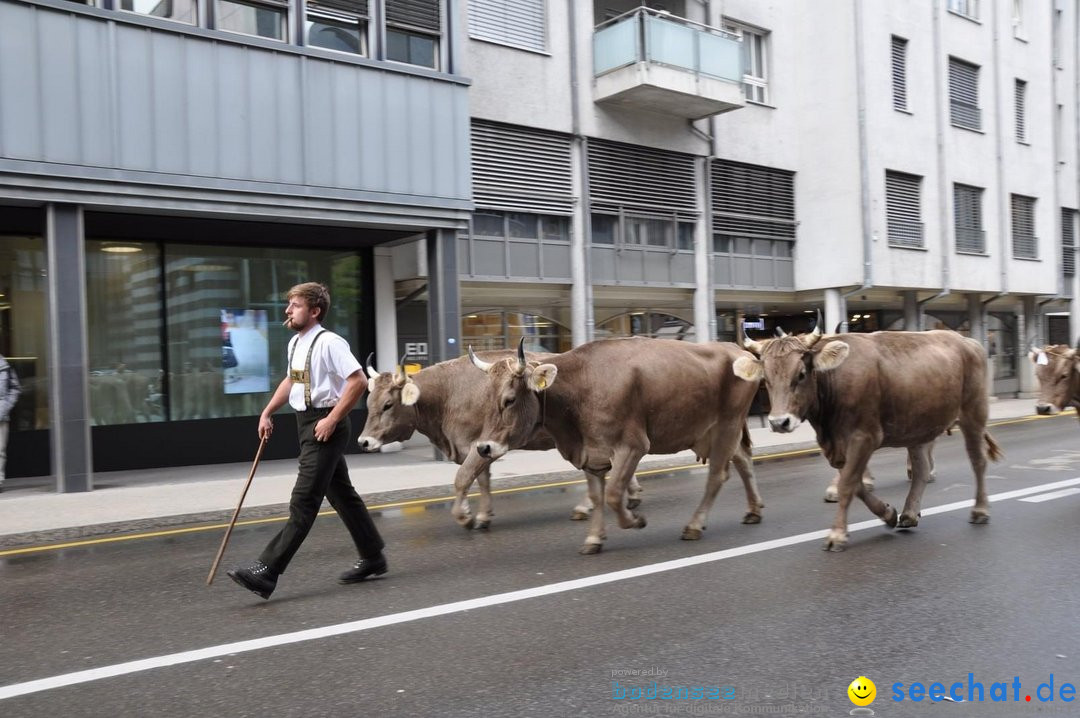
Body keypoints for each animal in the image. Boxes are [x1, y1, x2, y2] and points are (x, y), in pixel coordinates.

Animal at [354, 349, 639, 529]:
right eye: (368, 402)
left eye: (388, 404)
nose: (363, 441)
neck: (448, 395)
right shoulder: (482, 447)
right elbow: (483, 481)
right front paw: (483, 515)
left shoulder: (478, 445)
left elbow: (463, 479)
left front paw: (465, 517)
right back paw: (629, 495)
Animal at [470, 336, 760, 552]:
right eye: (488, 398)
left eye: (509, 399)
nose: (483, 448)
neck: (581, 386)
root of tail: (734, 348)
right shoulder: (591, 453)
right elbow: (597, 496)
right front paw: (594, 538)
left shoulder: (632, 446)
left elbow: (612, 494)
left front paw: (635, 520)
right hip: (713, 432)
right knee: (744, 461)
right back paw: (753, 510)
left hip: (727, 426)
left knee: (717, 476)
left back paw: (695, 525)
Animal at [734, 328, 1002, 550]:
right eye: (766, 379)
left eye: (801, 374)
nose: (779, 422)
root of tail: (966, 340)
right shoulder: (839, 447)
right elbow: (855, 484)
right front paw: (888, 513)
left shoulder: (864, 437)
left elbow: (848, 484)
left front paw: (837, 534)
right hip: (918, 426)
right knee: (921, 470)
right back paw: (909, 514)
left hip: (973, 414)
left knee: (978, 461)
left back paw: (980, 510)